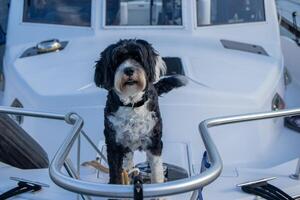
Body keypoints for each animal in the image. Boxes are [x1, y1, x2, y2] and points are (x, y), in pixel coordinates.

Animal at [95, 39, 186, 184]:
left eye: (138, 57)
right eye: (117, 60)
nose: (129, 70)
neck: (132, 104)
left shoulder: (154, 141)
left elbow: (157, 172)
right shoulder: (114, 144)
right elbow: (116, 174)